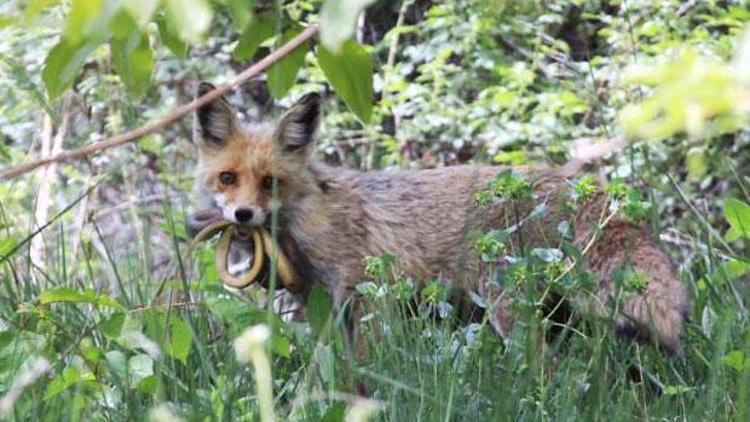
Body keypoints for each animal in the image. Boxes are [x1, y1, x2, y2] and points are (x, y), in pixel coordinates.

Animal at [191, 82, 692, 352]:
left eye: (270, 182)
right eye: (228, 178)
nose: (243, 214)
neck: (311, 220)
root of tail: (570, 183)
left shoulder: (369, 295)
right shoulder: (323, 307)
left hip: (507, 304)